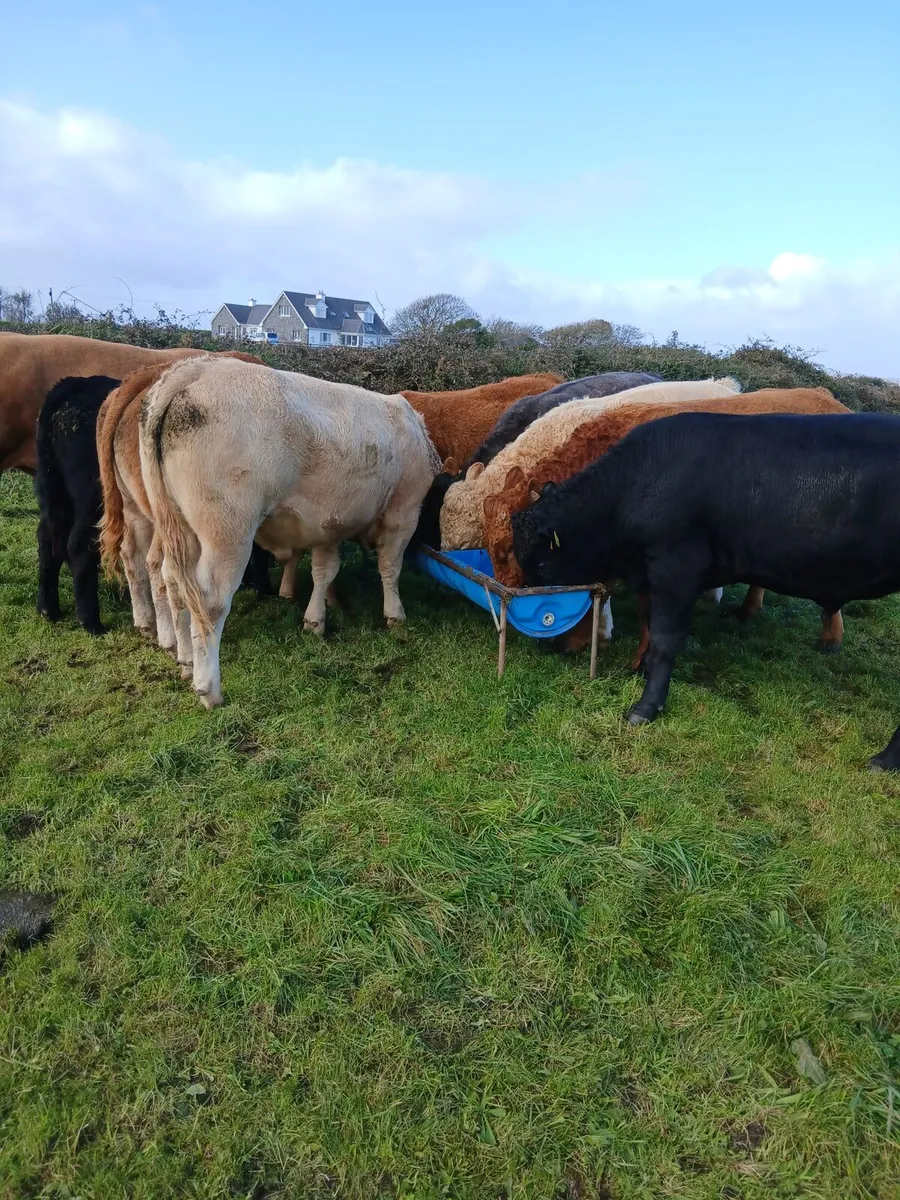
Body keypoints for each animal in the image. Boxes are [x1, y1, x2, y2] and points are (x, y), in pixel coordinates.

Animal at [138, 356, 441, 707]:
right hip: (227, 531)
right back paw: (209, 687)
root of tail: (200, 367)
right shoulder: (402, 515)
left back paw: (186, 661)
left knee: (174, 582)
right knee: (210, 600)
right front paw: (394, 613)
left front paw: (316, 617)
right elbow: (390, 568)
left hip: (178, 528)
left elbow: (324, 570)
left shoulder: (329, 524)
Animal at [511, 411, 900, 770]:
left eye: (542, 566)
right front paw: (641, 668)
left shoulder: (675, 567)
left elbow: (665, 639)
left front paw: (646, 707)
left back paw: (885, 759)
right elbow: (649, 625)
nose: (543, 640)